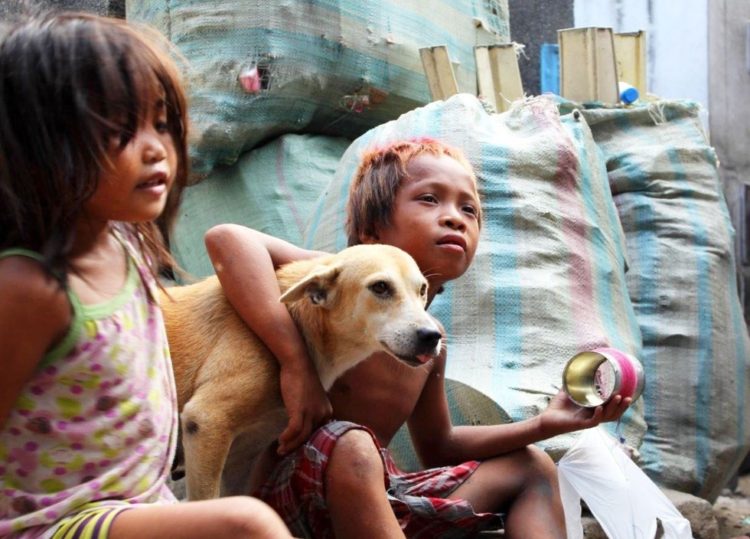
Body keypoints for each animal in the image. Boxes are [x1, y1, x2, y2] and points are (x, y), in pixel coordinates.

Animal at [162, 245, 444, 502]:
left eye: (422, 290)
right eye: (381, 287)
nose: (432, 336)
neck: (296, 324)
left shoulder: (239, 460)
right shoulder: (206, 422)